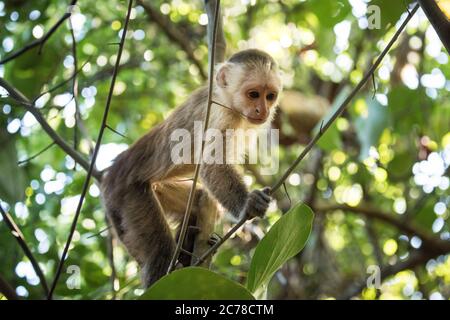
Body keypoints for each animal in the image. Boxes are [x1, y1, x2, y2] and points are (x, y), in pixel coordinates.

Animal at [103, 48, 282, 286]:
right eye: (253, 94)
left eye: (270, 96)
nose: (262, 109)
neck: (225, 98)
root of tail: (110, 175)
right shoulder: (220, 114)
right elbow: (211, 166)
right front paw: (248, 203)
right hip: (128, 195)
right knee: (160, 253)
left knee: (196, 202)